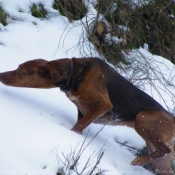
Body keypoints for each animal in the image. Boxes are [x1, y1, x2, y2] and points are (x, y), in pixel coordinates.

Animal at [0, 57, 174, 174]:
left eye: (21, 72)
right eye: (18, 67)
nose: (1, 74)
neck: (74, 74)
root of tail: (172, 118)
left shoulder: (103, 105)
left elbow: (77, 126)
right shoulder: (83, 110)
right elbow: (80, 125)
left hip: (142, 119)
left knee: (165, 149)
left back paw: (139, 160)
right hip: (160, 161)